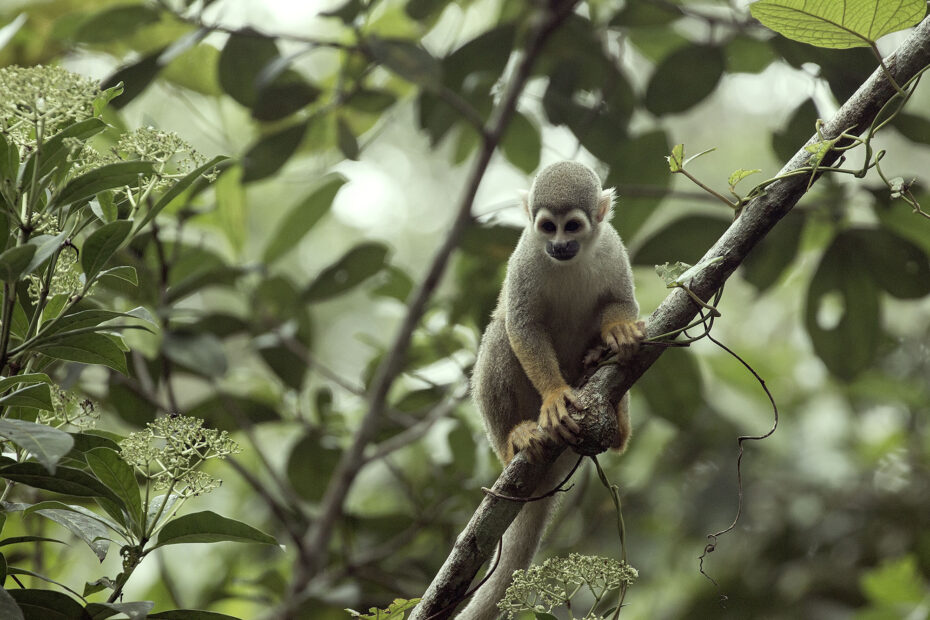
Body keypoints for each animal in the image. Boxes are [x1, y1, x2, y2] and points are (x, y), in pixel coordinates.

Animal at [454, 161, 640, 620]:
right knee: (500, 332)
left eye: (572, 226)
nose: (558, 246)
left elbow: (621, 302)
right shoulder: (524, 256)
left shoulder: (612, 246)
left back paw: (617, 418)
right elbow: (522, 327)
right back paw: (515, 438)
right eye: (547, 227)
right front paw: (555, 397)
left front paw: (619, 330)